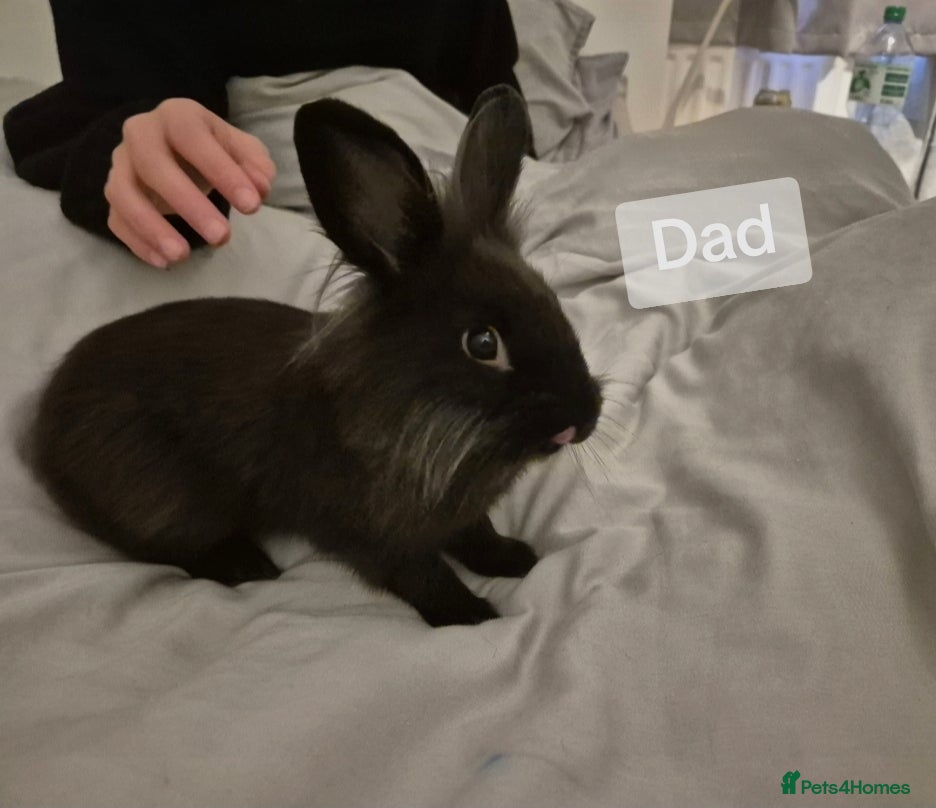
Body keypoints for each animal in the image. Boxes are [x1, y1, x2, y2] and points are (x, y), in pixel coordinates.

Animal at [25, 85, 603, 627]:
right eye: (483, 344)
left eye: (553, 303)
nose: (584, 417)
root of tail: (42, 423)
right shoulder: (374, 536)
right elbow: (422, 574)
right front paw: (470, 615)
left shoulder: (458, 515)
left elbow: (476, 536)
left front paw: (515, 558)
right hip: (160, 497)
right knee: (161, 547)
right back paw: (245, 565)